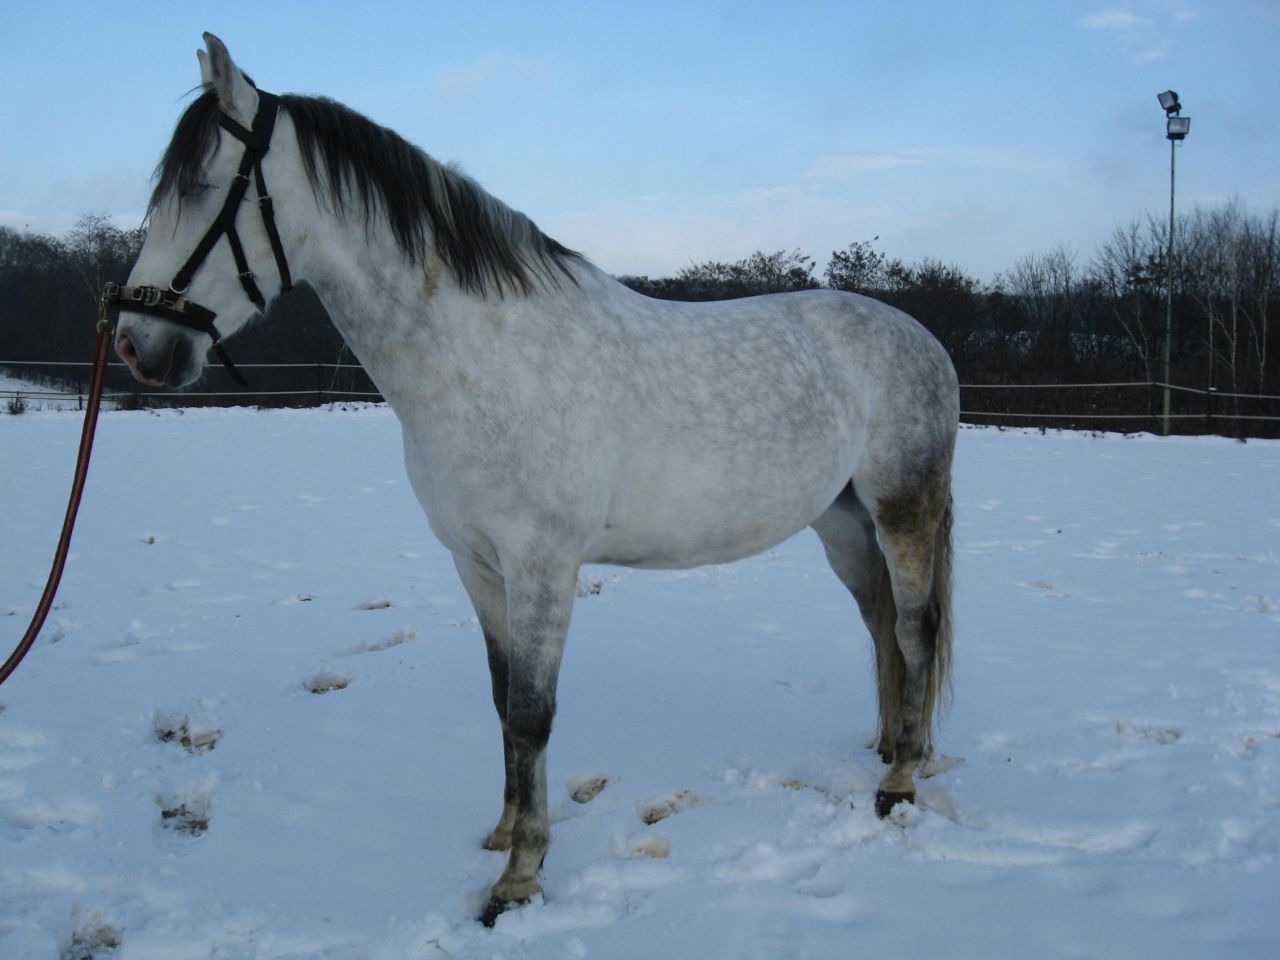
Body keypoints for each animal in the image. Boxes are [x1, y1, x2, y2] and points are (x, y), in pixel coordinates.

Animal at [109, 33, 958, 926]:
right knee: (881, 628)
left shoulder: (544, 565)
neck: (483, 356)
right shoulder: (476, 563)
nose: (135, 345)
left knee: (914, 630)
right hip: (843, 524)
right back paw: (894, 747)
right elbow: (500, 698)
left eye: (203, 189)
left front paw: (520, 880)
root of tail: (920, 338)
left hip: (903, 509)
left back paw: (900, 780)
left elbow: (532, 713)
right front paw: (504, 833)